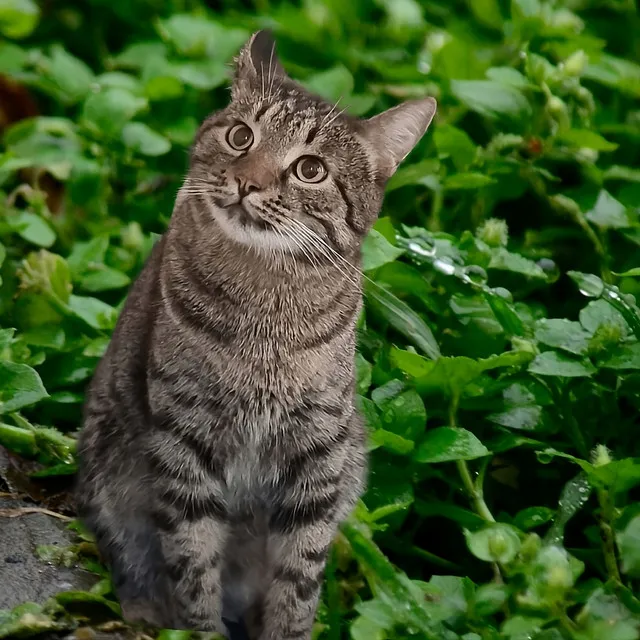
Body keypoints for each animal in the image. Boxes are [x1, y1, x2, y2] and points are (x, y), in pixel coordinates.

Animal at [74, 27, 436, 636]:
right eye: (241, 136)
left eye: (310, 169)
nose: (248, 182)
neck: (265, 304)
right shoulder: (184, 435)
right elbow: (193, 559)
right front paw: (198, 626)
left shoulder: (319, 451)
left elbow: (300, 576)